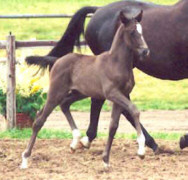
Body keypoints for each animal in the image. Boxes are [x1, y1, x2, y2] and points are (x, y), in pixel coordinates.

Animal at [20, 9, 150, 167]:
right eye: (132, 32)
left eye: (142, 31)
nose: (145, 51)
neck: (116, 63)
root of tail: (57, 60)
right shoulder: (113, 93)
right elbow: (134, 110)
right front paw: (141, 150)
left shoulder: (121, 95)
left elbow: (113, 126)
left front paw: (106, 161)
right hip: (56, 92)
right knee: (39, 119)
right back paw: (25, 159)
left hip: (78, 93)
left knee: (64, 105)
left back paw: (75, 140)